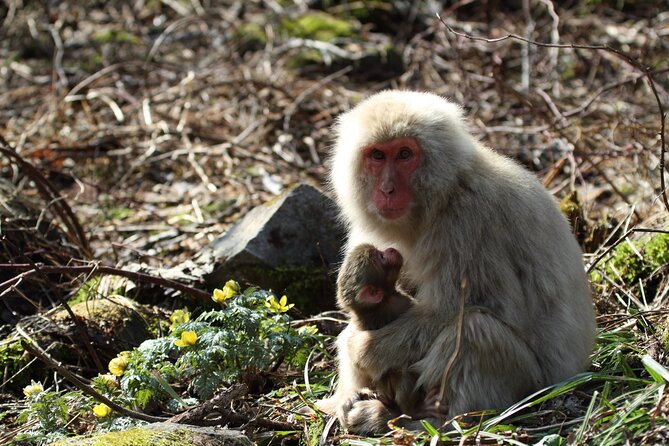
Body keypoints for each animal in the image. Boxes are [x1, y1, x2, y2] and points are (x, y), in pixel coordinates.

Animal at [318, 89, 596, 434]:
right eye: (378, 156)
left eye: (405, 154)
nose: (387, 189)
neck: (445, 193)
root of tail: (574, 375)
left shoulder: (468, 222)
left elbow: (460, 309)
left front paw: (360, 349)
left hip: (535, 385)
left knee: (475, 330)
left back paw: (438, 422)